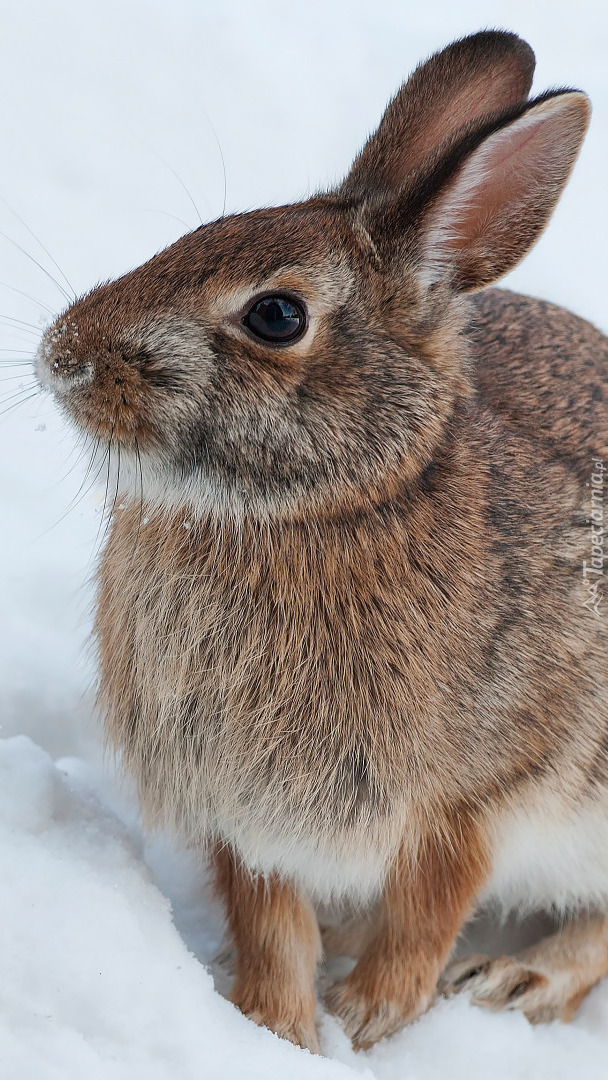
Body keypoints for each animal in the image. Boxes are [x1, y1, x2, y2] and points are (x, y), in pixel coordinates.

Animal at [36, 27, 608, 1054]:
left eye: (276, 315)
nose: (63, 357)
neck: (324, 508)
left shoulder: (478, 795)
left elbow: (432, 902)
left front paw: (372, 1017)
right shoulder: (241, 812)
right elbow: (268, 920)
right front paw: (274, 1026)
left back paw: (519, 980)